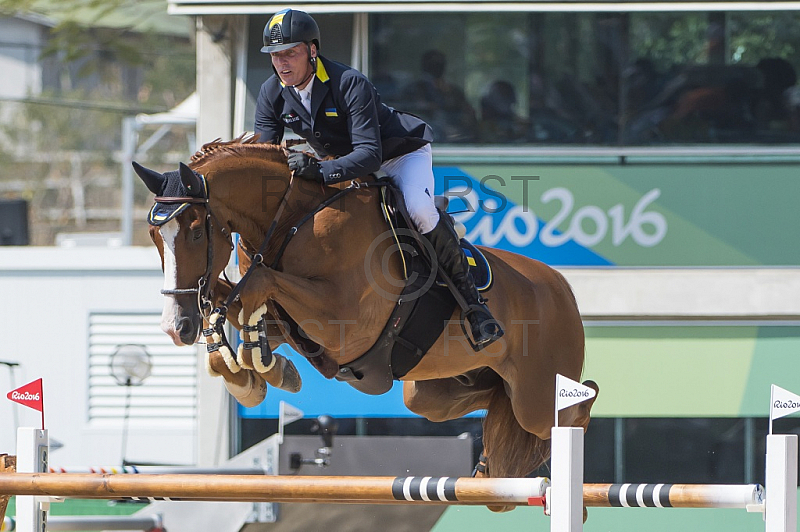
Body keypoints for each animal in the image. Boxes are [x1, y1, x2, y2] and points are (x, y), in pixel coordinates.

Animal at [136, 136, 600, 508]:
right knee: (484, 398)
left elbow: (258, 284)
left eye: (196, 232)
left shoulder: (344, 319)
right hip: (429, 392)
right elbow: (236, 302)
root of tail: (561, 287)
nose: (176, 328)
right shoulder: (288, 323)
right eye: (155, 236)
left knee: (577, 404)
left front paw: (259, 367)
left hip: (536, 395)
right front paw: (255, 372)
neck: (291, 221)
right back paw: (488, 473)